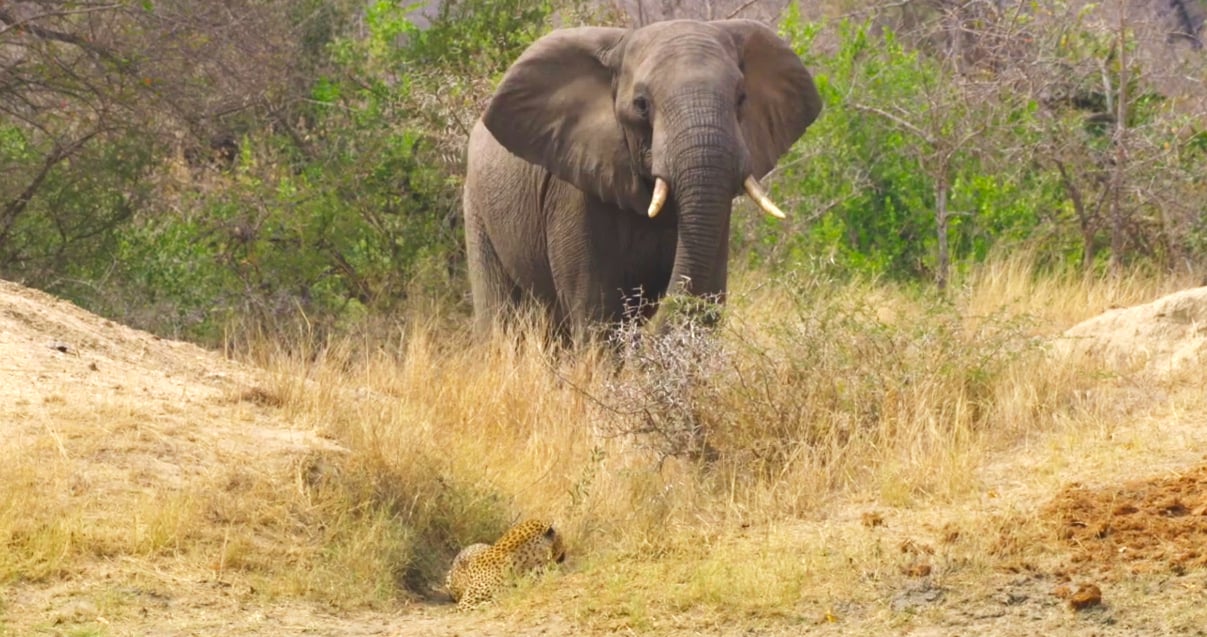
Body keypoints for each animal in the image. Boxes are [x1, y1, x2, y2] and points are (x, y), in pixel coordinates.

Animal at [463, 19, 821, 341]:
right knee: (501, 317)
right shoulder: (573, 192)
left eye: (742, 98)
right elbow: (597, 312)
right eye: (641, 105)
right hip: (476, 208)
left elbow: (707, 299)